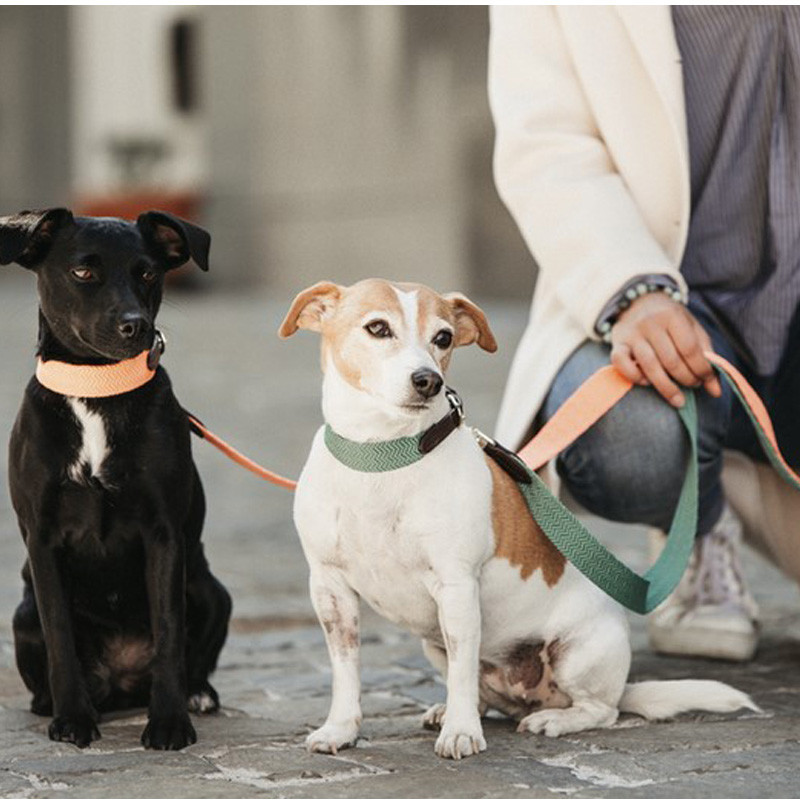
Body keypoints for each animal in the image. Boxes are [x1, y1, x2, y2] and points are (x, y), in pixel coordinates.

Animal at [3, 208, 233, 752]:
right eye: (83, 271)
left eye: (147, 273)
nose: (136, 326)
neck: (96, 390)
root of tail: (124, 682)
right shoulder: (42, 540)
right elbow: (61, 637)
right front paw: (72, 719)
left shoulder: (164, 535)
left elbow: (169, 633)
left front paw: (169, 722)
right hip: (22, 614)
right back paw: (55, 703)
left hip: (212, 591)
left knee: (192, 657)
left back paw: (198, 694)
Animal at [278, 278, 760, 760]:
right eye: (377, 328)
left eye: (443, 338)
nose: (429, 380)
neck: (382, 456)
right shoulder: (330, 589)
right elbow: (347, 670)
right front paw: (341, 728)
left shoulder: (456, 588)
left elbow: (461, 669)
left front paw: (460, 733)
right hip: (433, 644)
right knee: (481, 691)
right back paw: (453, 710)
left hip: (577, 652)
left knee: (600, 710)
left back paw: (552, 719)